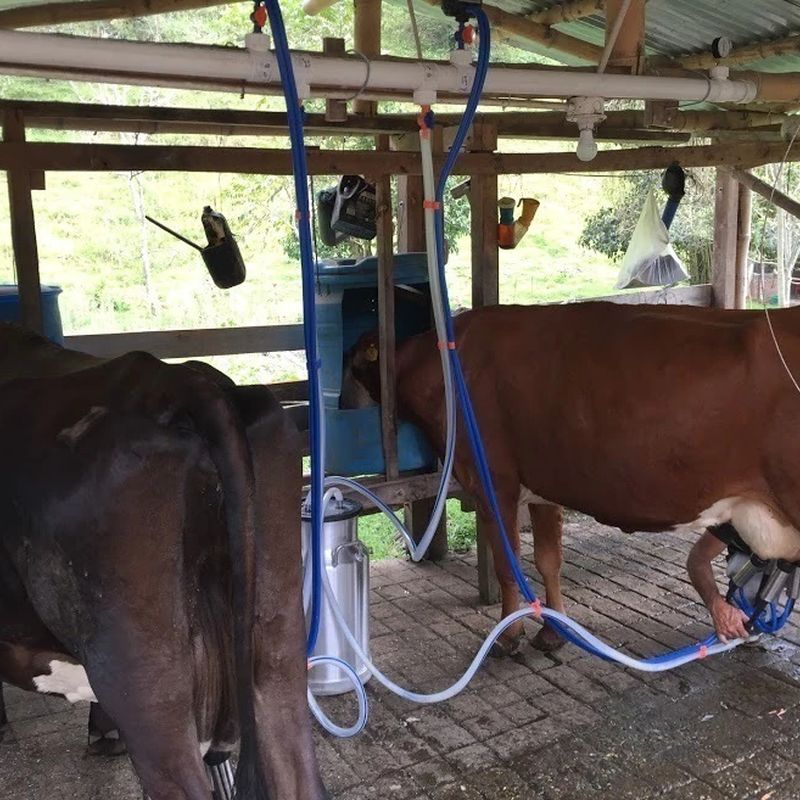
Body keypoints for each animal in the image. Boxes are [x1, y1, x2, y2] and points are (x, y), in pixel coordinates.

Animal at [344, 301, 800, 654]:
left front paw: (508, 635)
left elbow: (508, 563)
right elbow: (549, 561)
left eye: (351, 366)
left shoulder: (491, 480)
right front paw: (553, 631)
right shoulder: (544, 486)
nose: (343, 406)